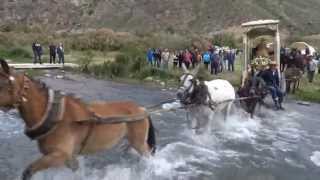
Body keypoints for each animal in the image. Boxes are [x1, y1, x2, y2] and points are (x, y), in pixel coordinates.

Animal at [0, 59, 156, 180]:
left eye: (2, 84)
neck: (56, 117)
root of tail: (141, 109)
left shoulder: (59, 155)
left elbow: (29, 170)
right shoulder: (69, 158)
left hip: (139, 143)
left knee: (148, 156)